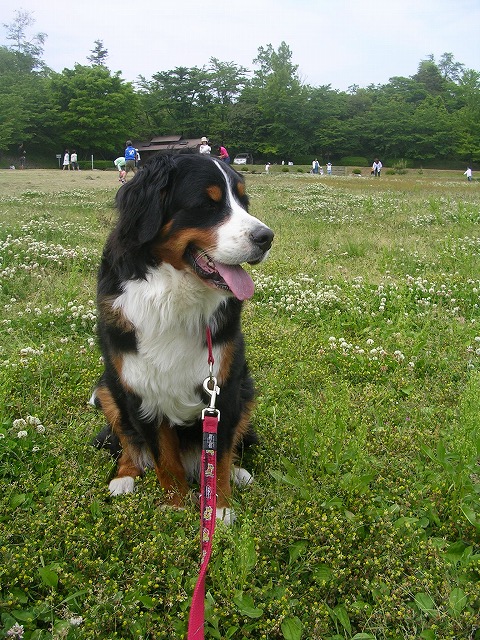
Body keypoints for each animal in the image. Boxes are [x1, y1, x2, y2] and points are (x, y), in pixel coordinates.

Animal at [92, 154, 274, 524]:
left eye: (243, 201)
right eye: (207, 204)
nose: (267, 237)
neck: (173, 297)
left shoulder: (225, 387)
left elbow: (220, 456)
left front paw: (219, 509)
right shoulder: (139, 388)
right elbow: (164, 458)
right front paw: (175, 505)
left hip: (246, 388)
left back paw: (239, 473)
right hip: (106, 388)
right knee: (127, 442)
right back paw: (124, 476)